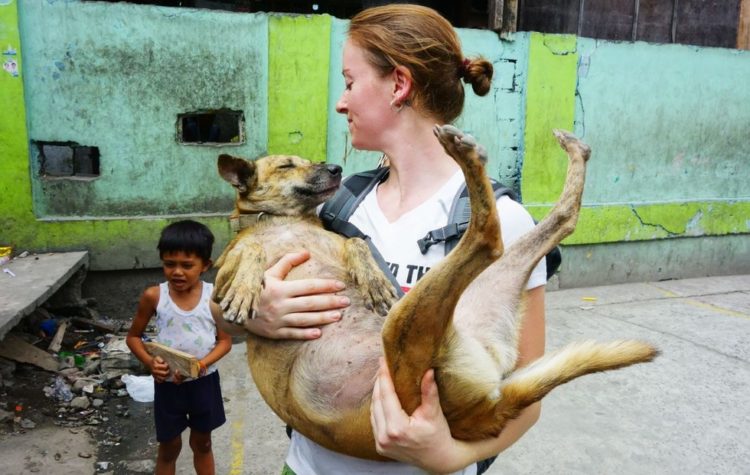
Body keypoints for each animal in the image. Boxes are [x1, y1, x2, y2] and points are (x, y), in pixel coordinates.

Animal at [213, 125, 656, 462]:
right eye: (287, 165)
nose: (336, 167)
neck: (284, 222)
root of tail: (488, 410)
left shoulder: (338, 241)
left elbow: (355, 243)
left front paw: (372, 277)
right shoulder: (218, 280)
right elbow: (248, 254)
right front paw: (246, 289)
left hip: (415, 322)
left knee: (514, 230)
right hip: (418, 324)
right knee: (501, 235)